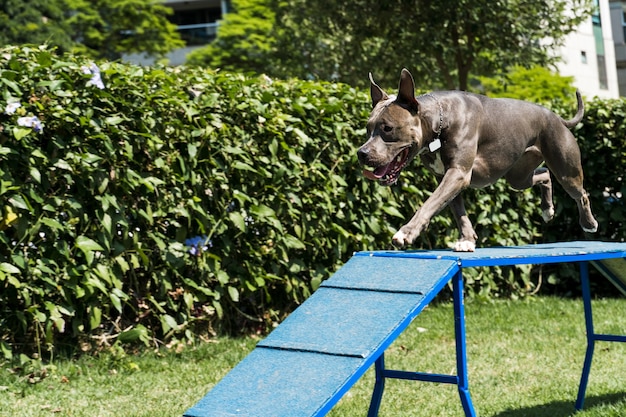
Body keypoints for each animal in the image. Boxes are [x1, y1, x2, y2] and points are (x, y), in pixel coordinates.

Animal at [356, 68, 596, 250]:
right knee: (544, 174)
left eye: (387, 128)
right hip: (518, 177)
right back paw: (547, 209)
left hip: (566, 170)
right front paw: (467, 240)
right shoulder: (447, 177)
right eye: (368, 129)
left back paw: (589, 223)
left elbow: (429, 203)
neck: (438, 123)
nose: (361, 153)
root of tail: (557, 117)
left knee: (581, 193)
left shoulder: (457, 174)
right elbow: (458, 212)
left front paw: (406, 232)